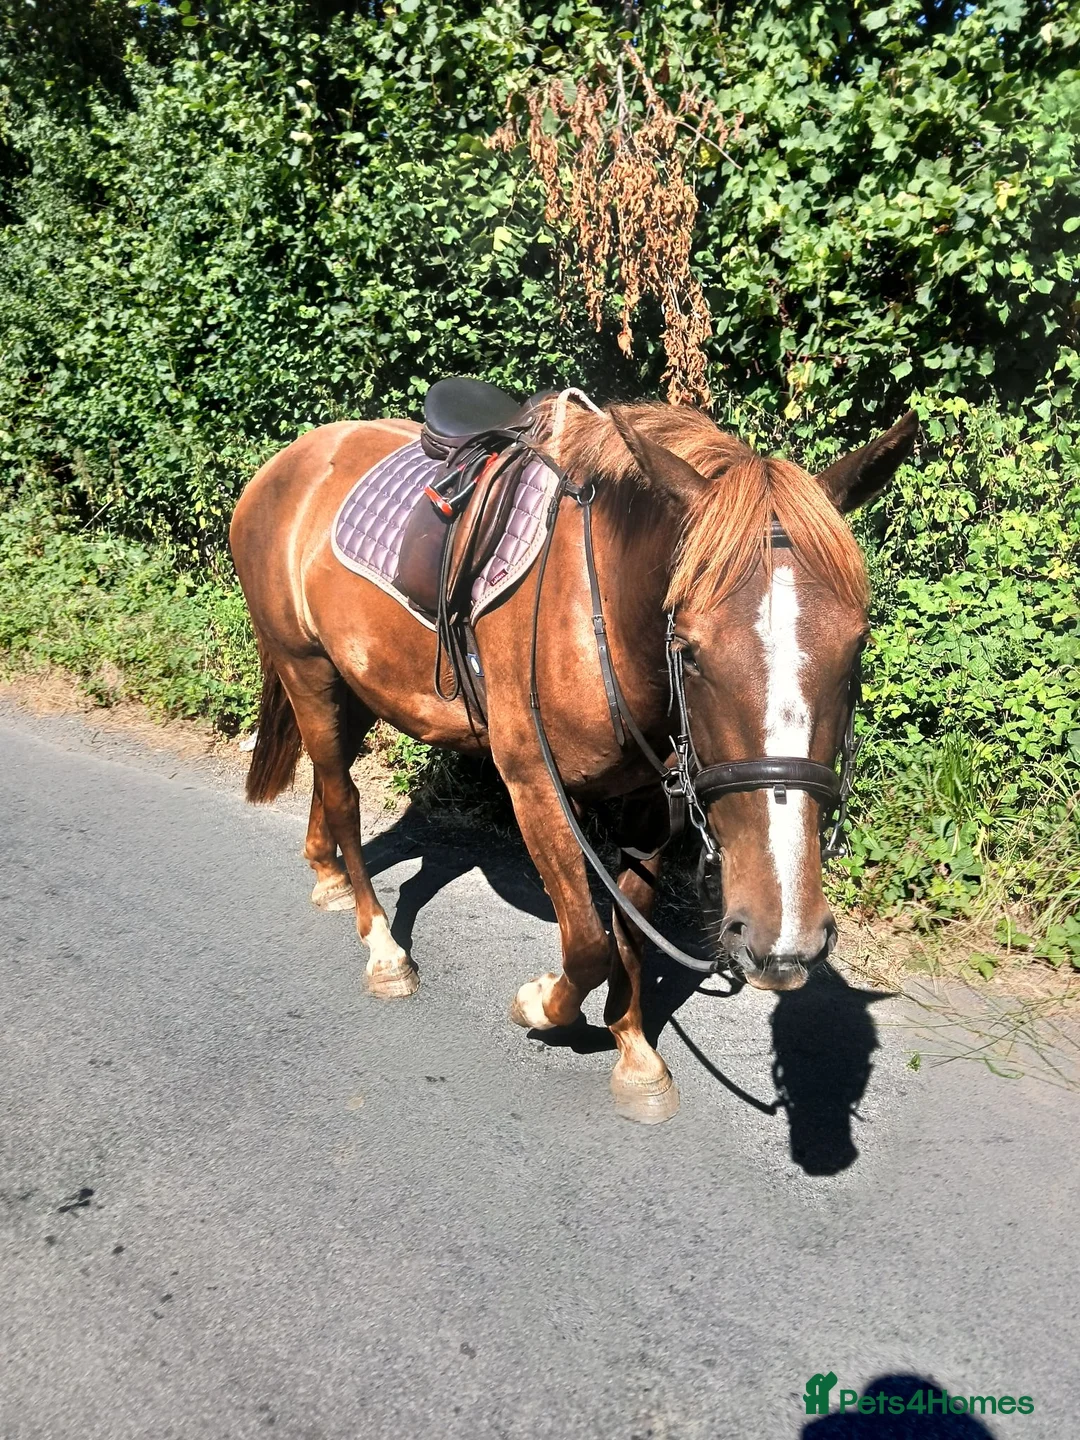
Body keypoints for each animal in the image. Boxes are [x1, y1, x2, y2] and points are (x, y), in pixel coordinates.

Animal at [229, 394, 917, 1124]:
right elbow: (588, 943)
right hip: (306, 670)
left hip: (353, 684)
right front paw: (541, 1005)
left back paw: (327, 874)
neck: (599, 610)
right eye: (689, 648)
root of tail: (288, 462)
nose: (782, 940)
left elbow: (630, 934)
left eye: (855, 644)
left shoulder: (649, 804)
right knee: (343, 795)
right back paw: (383, 949)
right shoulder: (535, 784)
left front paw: (633, 1048)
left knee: (327, 780)